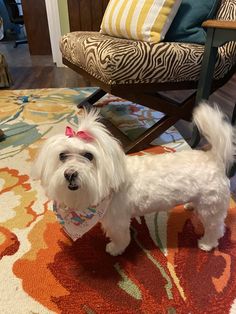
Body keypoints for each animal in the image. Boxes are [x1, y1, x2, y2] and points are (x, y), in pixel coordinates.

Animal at [32, 102, 234, 255]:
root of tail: (214, 158)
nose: (70, 174)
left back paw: (207, 244)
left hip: (211, 208)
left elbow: (121, 239)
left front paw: (114, 249)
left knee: (216, 228)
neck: (111, 184)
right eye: (62, 156)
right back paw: (190, 205)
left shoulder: (117, 222)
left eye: (89, 156)